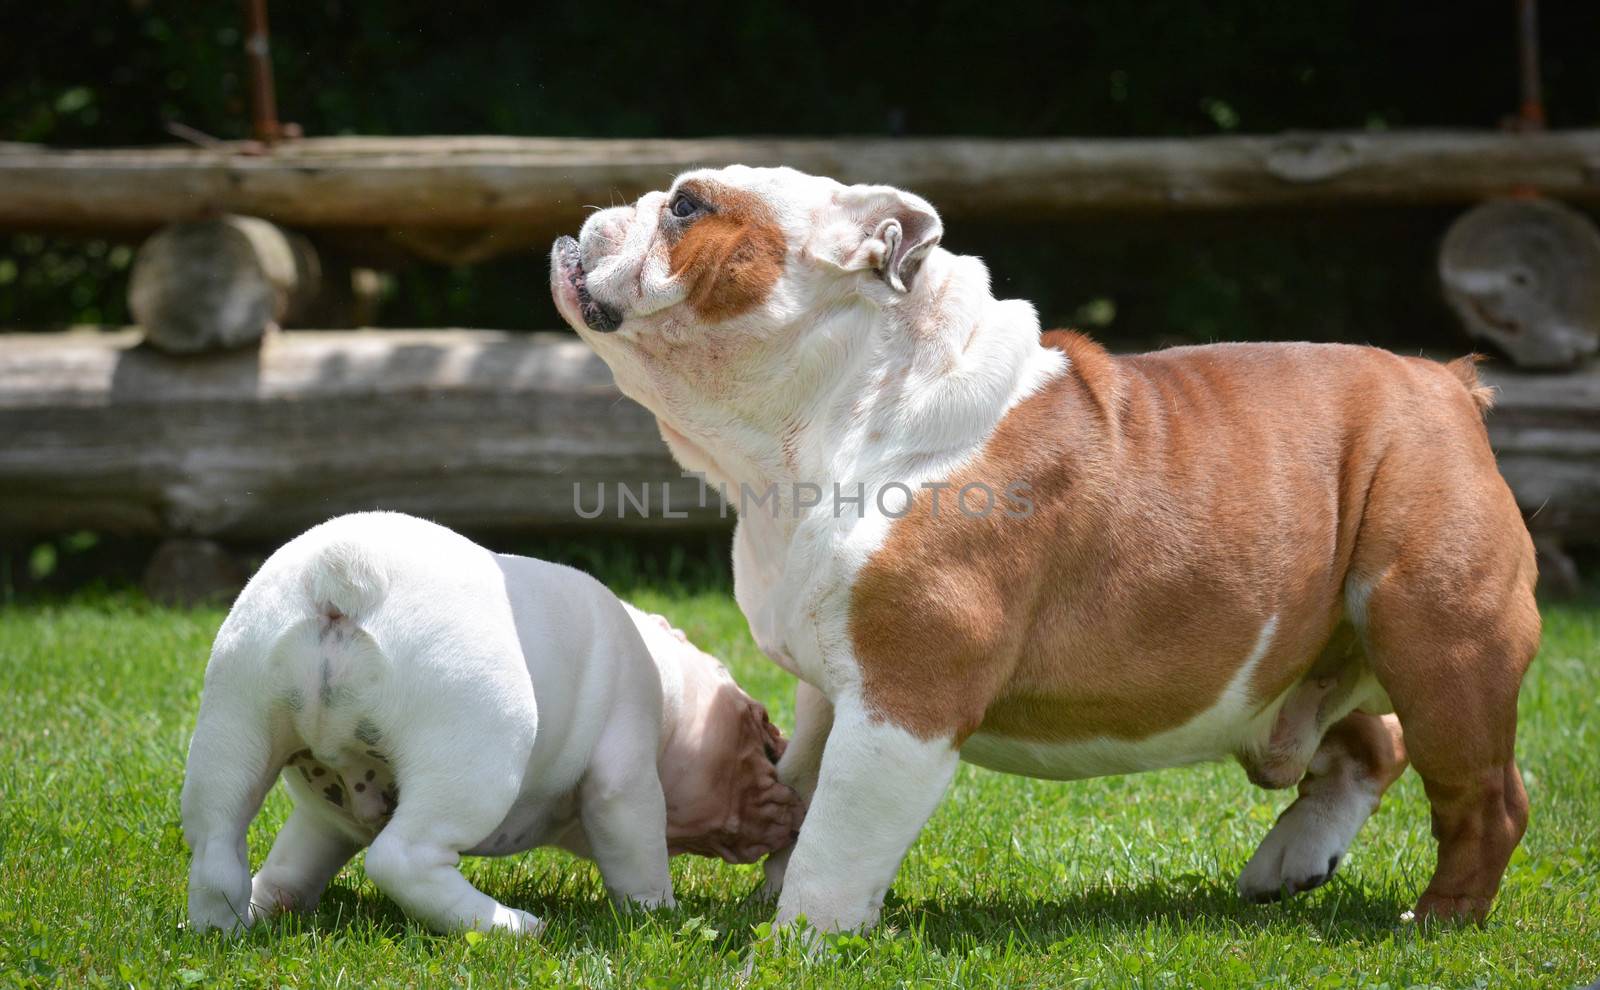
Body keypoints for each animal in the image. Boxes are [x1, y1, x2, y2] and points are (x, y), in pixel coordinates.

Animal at [181, 511, 800, 940]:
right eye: (762, 733)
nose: (788, 768)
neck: (668, 686)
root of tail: (345, 576)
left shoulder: (326, 819)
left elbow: (295, 863)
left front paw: (271, 900)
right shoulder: (624, 777)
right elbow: (639, 856)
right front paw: (663, 915)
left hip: (234, 727)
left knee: (217, 847)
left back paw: (223, 927)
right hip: (475, 760)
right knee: (404, 858)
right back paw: (510, 926)